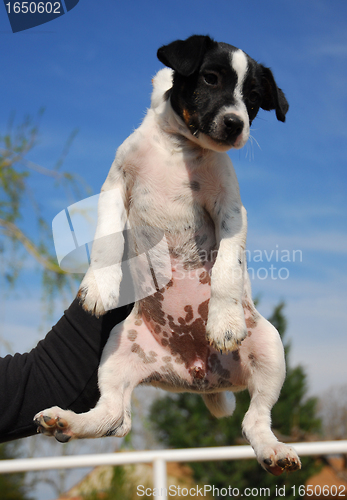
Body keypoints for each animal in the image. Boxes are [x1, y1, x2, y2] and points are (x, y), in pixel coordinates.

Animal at [35, 36, 302, 476]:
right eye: (210, 78)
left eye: (253, 98)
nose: (235, 124)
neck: (179, 148)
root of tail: (196, 377)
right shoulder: (115, 188)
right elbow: (106, 242)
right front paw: (100, 286)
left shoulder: (232, 211)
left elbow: (227, 267)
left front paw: (223, 319)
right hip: (117, 352)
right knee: (115, 417)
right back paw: (67, 420)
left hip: (270, 347)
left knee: (255, 419)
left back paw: (273, 451)